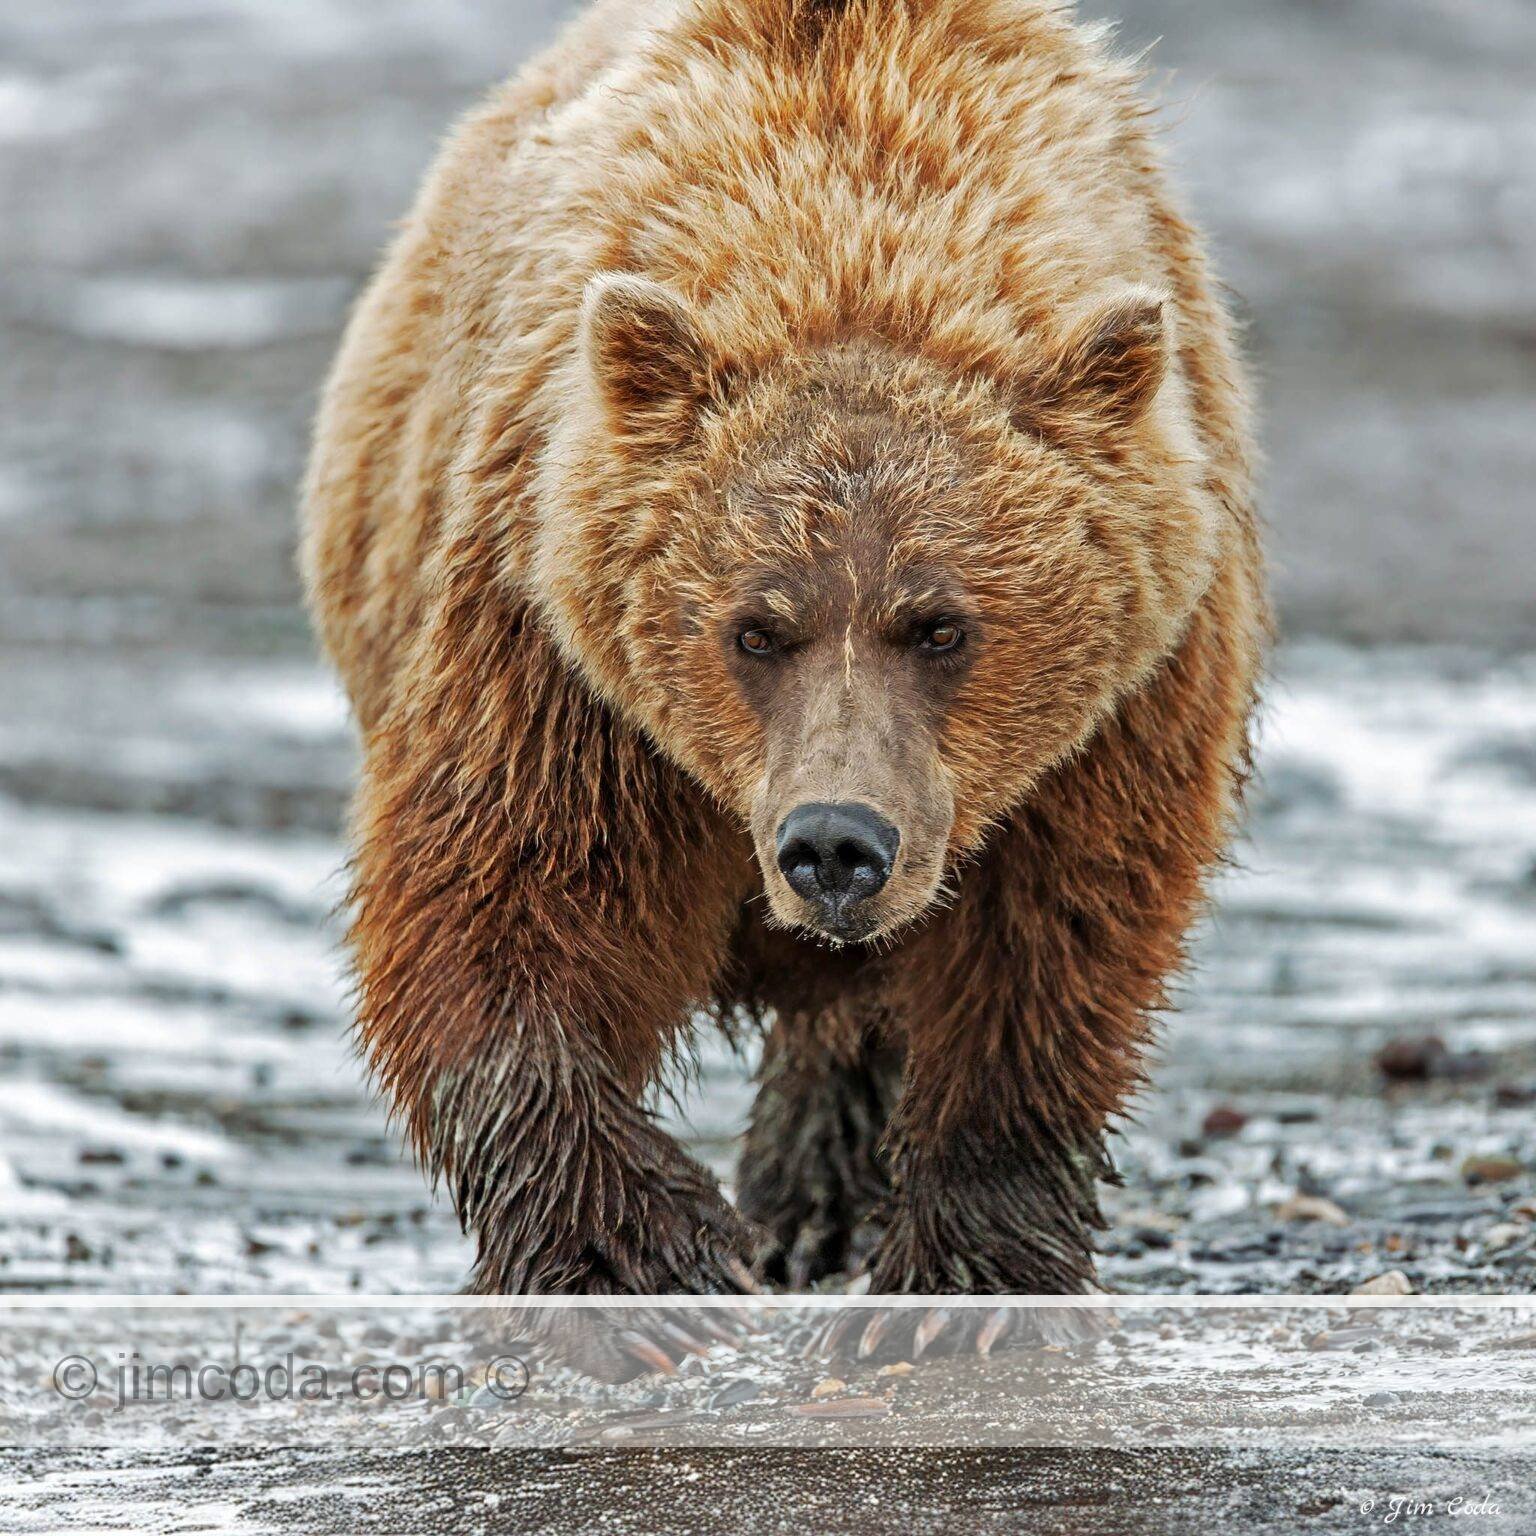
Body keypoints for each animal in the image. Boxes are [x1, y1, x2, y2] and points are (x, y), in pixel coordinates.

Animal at [301, 0, 1265, 1371]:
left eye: (941, 626)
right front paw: (640, 1268)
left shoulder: (1121, 709)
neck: (853, 225)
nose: (834, 844)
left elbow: (1051, 950)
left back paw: (817, 1190)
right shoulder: (554, 653)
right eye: (756, 628)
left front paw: (961, 1293)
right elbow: (503, 903)